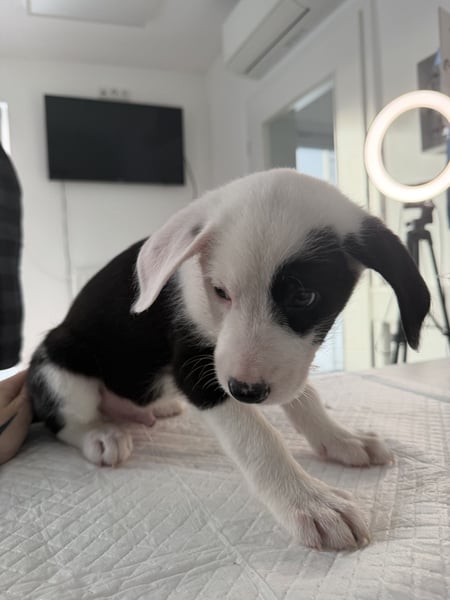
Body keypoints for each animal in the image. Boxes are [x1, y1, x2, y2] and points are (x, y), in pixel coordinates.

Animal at [28, 169, 430, 550]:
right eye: (220, 291)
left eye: (304, 297)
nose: (245, 391)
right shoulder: (195, 368)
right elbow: (258, 437)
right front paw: (309, 502)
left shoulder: (285, 364)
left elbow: (305, 397)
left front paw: (340, 437)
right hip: (62, 360)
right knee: (64, 421)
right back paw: (100, 434)